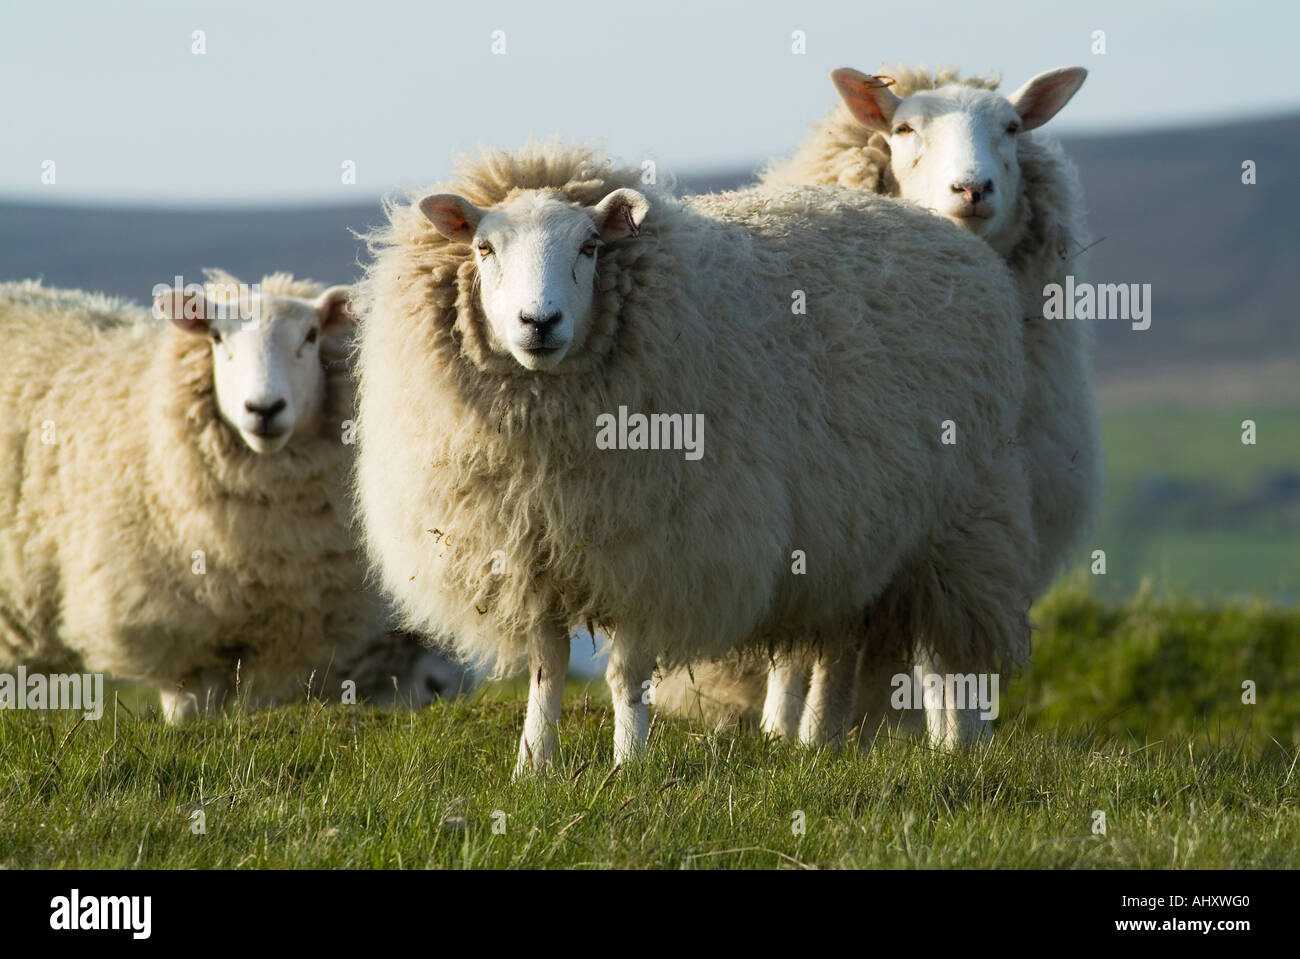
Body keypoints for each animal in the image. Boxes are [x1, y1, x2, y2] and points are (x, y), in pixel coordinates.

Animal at [0, 274, 459, 721]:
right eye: (218, 338)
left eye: (311, 336)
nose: (264, 409)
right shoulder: (180, 641)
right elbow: (188, 715)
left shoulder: (277, 642)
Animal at [351, 141, 1036, 774]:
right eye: (485, 249)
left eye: (590, 248)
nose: (538, 322)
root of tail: (951, 238)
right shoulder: (535, 550)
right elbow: (547, 667)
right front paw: (533, 766)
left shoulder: (658, 551)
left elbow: (627, 674)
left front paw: (629, 766)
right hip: (857, 543)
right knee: (842, 649)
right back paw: (823, 745)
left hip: (965, 533)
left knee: (953, 662)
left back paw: (960, 751)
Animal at [659, 63, 1100, 745]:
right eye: (904, 129)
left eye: (1011, 127)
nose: (972, 189)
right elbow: (829, 656)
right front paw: (814, 738)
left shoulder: (966, 524)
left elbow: (949, 659)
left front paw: (963, 745)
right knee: (797, 652)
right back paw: (784, 730)